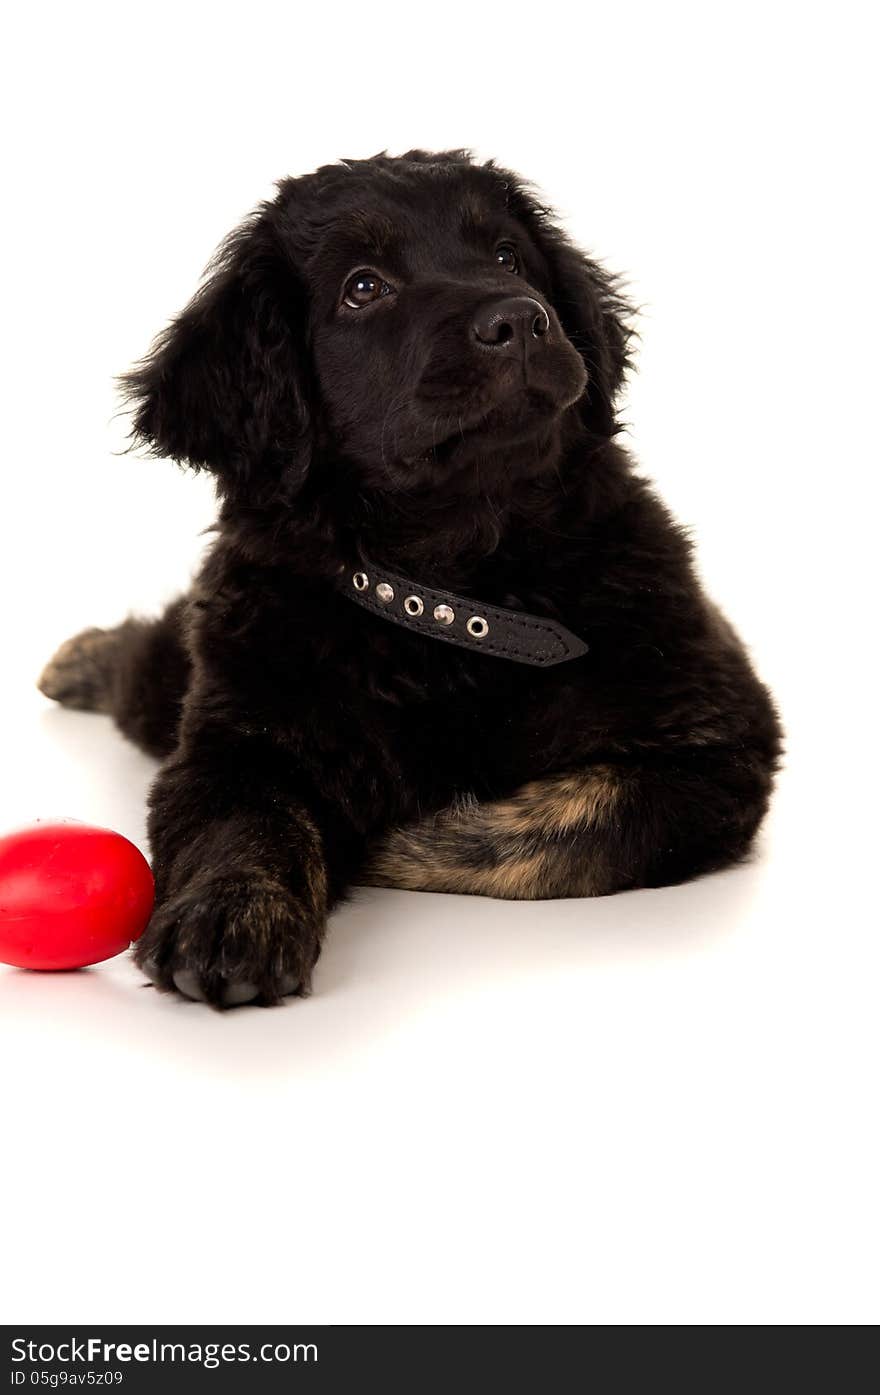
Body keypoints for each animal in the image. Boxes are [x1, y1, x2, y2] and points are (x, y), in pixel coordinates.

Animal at [39, 149, 786, 1004]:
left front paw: (388, 838)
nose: (521, 319)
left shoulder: (714, 742)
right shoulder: (235, 734)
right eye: (364, 287)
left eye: (507, 255)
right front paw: (230, 912)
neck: (454, 597)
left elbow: (552, 828)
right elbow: (249, 820)